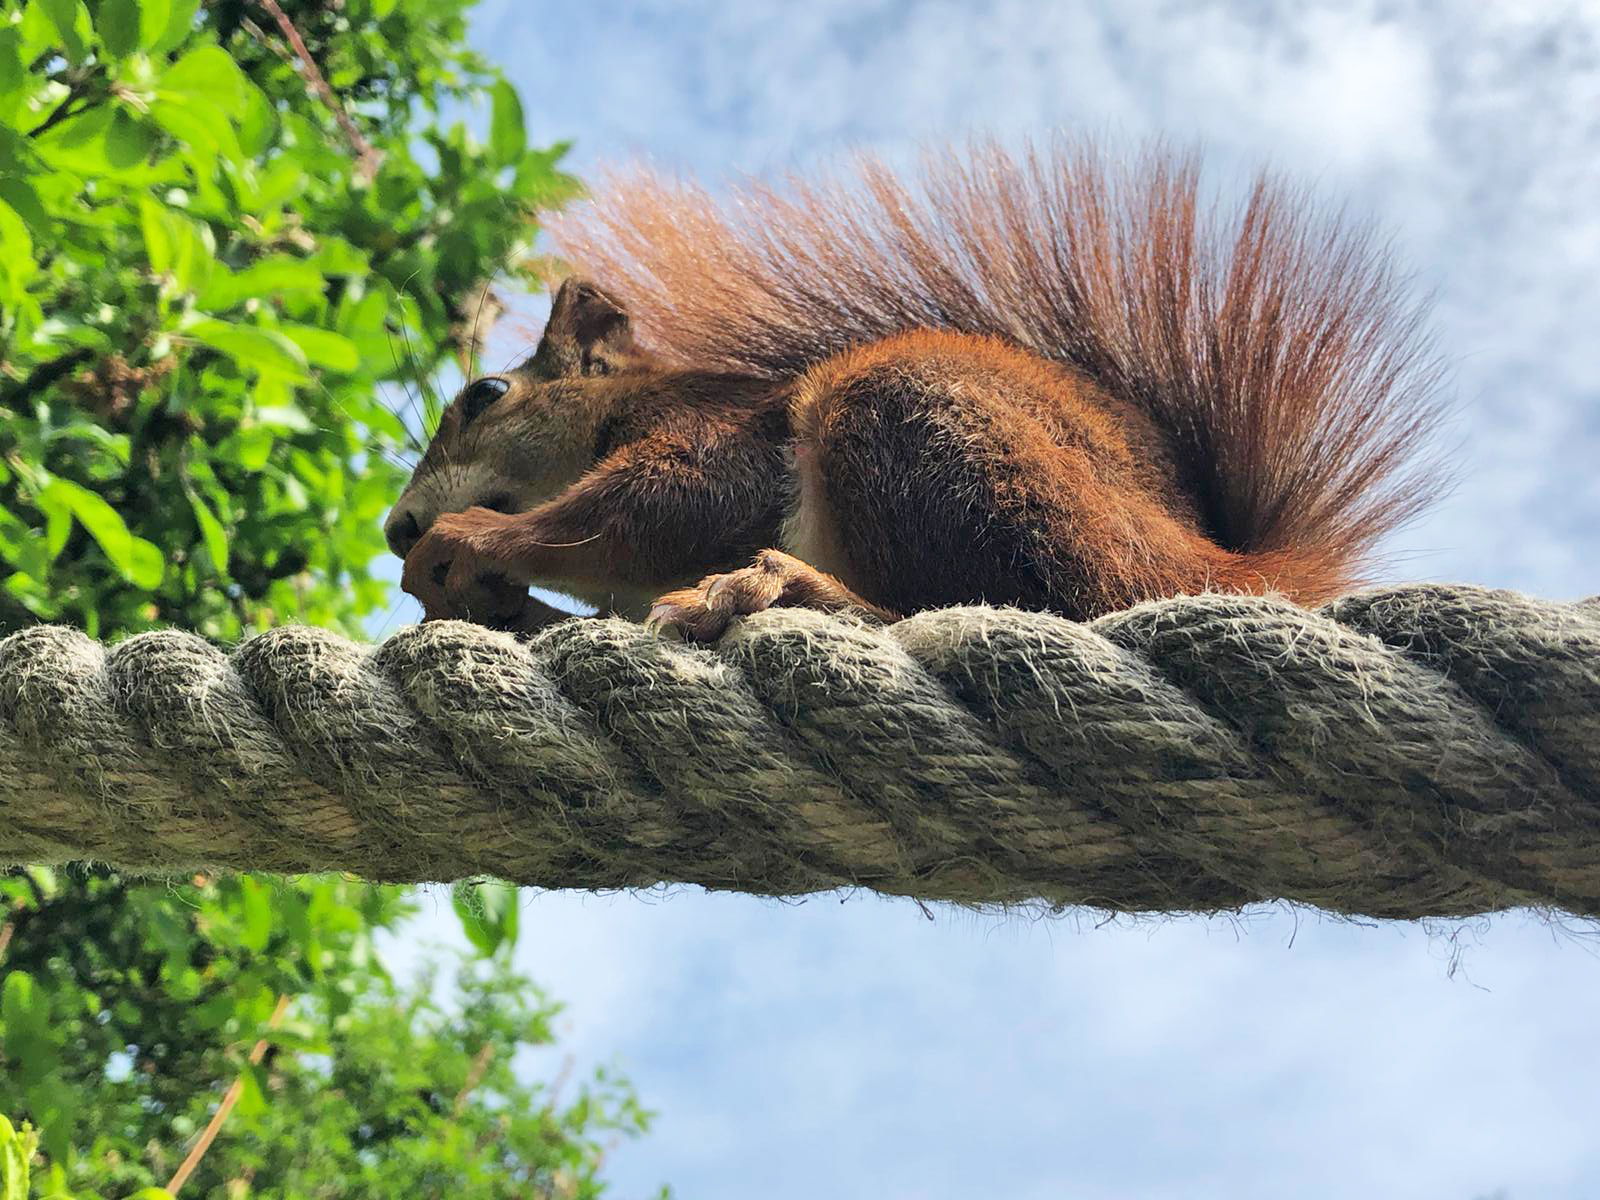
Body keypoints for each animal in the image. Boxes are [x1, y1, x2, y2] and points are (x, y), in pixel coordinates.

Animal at [390, 140, 1452, 643]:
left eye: (485, 393)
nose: (397, 528)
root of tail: (1224, 562)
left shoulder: (716, 435)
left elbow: (661, 505)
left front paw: (474, 542)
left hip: (915, 428)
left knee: (1036, 604)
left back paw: (785, 588)